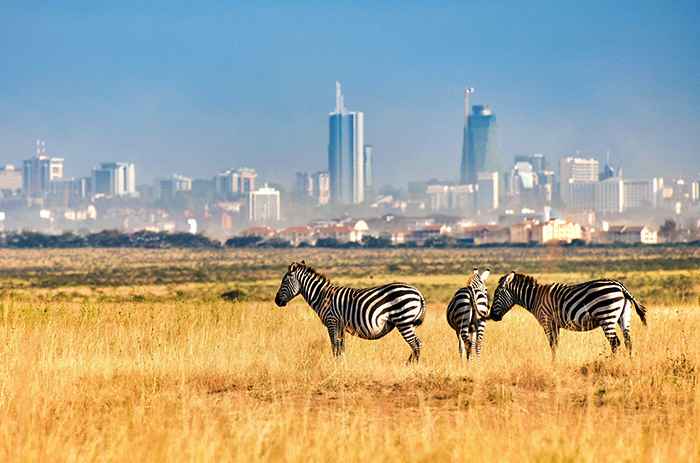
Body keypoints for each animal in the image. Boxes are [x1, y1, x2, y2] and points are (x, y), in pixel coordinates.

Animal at [274, 260, 426, 362]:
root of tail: (418, 292)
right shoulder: (340, 325)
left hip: (403, 321)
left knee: (415, 344)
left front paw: (336, 368)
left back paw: (412, 367)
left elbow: (335, 347)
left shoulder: (332, 321)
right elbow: (341, 348)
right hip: (409, 323)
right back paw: (409, 365)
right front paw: (343, 366)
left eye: (284, 281)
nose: (276, 301)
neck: (322, 296)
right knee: (416, 344)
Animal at [490, 270, 648, 358]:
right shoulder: (555, 324)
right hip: (623, 316)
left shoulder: (546, 320)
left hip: (606, 315)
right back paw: (629, 363)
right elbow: (556, 344)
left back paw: (611, 364)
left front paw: (553, 364)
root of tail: (621, 287)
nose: (492, 316)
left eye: (496, 295)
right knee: (628, 341)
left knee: (615, 342)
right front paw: (556, 361)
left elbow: (552, 344)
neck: (535, 298)